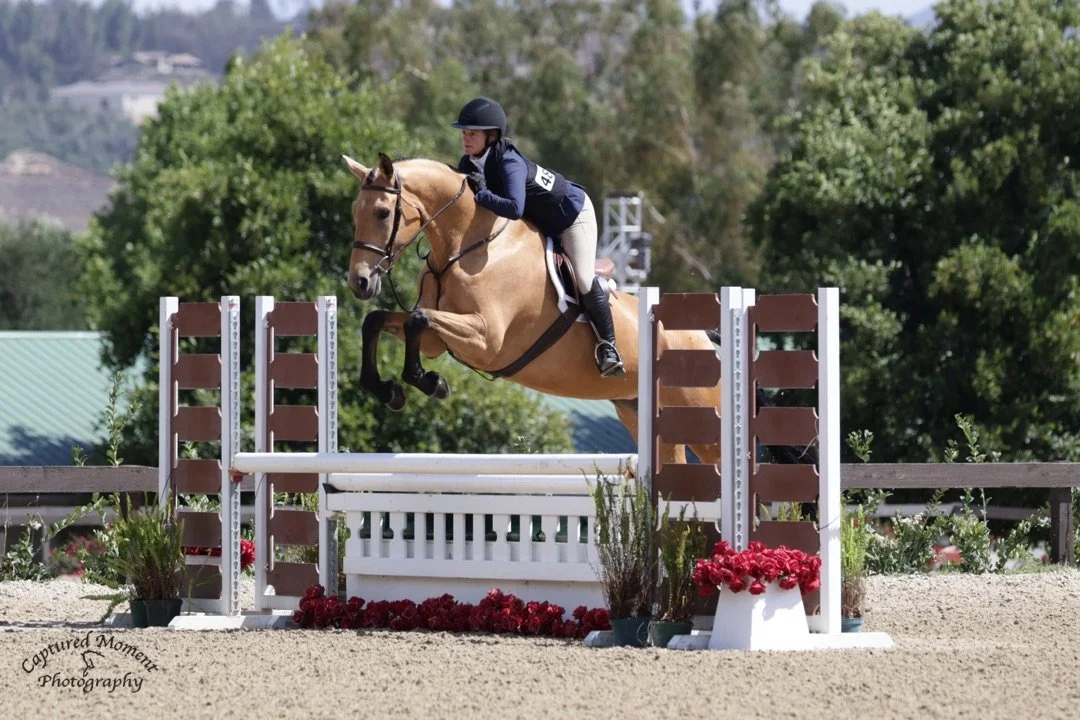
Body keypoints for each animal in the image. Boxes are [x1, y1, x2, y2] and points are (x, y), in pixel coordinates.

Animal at [340, 152, 722, 469]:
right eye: (354, 213)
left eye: (383, 213)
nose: (359, 282)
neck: (464, 247)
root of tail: (701, 336)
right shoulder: (440, 340)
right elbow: (379, 320)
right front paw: (390, 391)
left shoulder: (487, 340)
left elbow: (418, 320)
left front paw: (431, 383)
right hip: (643, 413)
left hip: (701, 417)